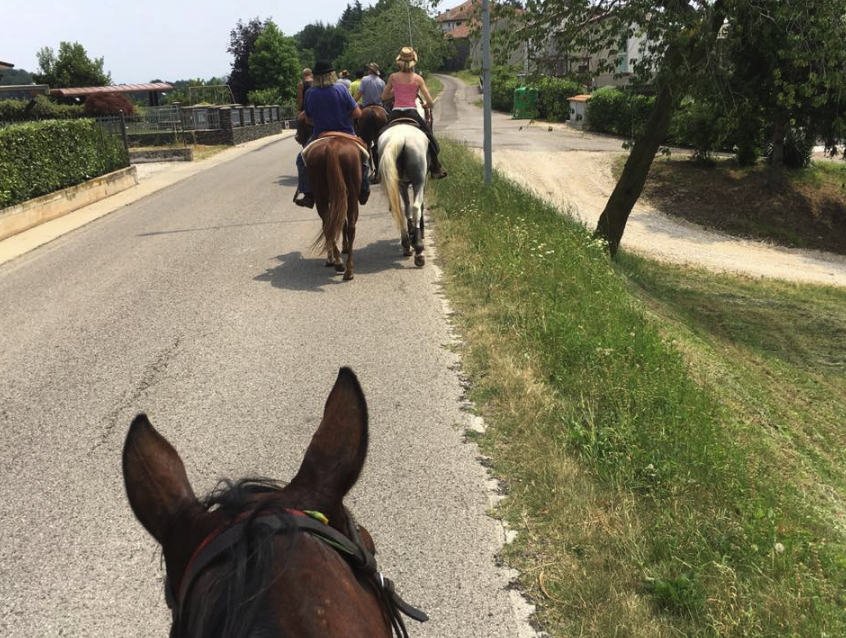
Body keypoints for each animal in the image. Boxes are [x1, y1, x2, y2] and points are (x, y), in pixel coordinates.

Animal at [306, 138, 366, 280]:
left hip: (321, 197)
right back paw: (346, 268)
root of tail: (332, 145)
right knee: (350, 227)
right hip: (351, 196)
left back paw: (339, 263)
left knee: (328, 226)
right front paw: (343, 247)